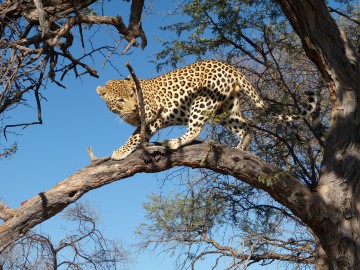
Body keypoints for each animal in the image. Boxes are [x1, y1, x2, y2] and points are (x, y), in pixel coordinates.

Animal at [97, 59, 316, 160]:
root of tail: (230, 67)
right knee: (246, 125)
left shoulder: (152, 116)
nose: (135, 107)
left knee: (195, 130)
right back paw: (241, 147)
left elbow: (134, 136)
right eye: (120, 100)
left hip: (202, 102)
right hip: (225, 109)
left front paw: (120, 152)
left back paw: (174, 142)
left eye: (133, 94)